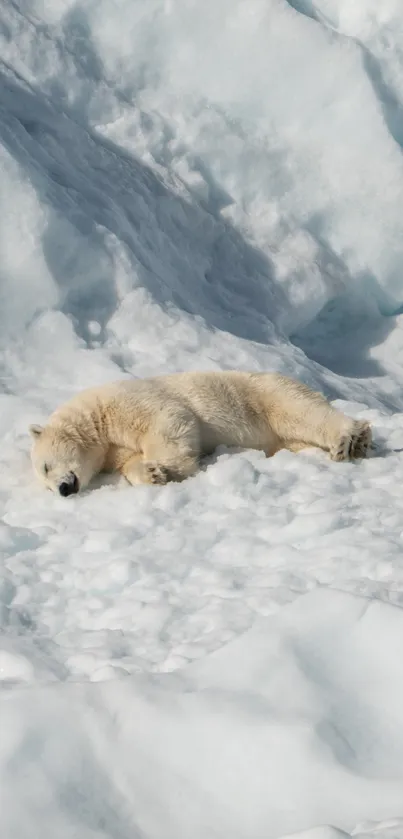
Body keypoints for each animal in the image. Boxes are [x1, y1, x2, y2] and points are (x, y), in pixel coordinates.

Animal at [30, 372, 374, 496]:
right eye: (45, 482)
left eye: (46, 466)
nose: (63, 489)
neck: (95, 419)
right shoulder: (114, 450)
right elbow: (130, 461)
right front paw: (151, 473)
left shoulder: (126, 402)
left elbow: (168, 419)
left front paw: (170, 468)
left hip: (263, 393)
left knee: (301, 411)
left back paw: (351, 439)